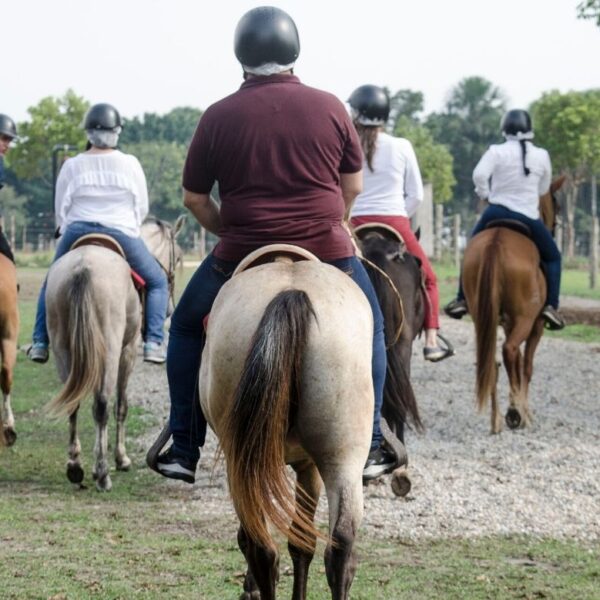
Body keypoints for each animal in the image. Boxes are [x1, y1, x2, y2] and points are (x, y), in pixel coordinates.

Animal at [45, 218, 183, 490]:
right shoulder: (127, 350)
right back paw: (102, 473)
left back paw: (75, 466)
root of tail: (83, 268)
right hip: (110, 346)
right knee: (102, 404)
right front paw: (121, 458)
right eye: (178, 257)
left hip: (62, 347)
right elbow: (121, 404)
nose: (170, 309)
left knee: (73, 402)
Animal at [203, 245, 376, 600]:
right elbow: (302, 542)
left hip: (244, 462)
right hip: (343, 457)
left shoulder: (303, 466)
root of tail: (291, 293)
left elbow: (296, 542)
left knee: (260, 546)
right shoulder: (309, 465)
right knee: (340, 545)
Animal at [462, 176, 564, 434]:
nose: (554, 225)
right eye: (556, 204)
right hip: (526, 319)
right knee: (509, 352)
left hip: (483, 317)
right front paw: (523, 411)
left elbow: (516, 364)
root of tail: (496, 242)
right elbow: (525, 365)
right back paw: (515, 413)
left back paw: (496, 419)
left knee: (491, 361)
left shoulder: (508, 324)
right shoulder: (536, 325)